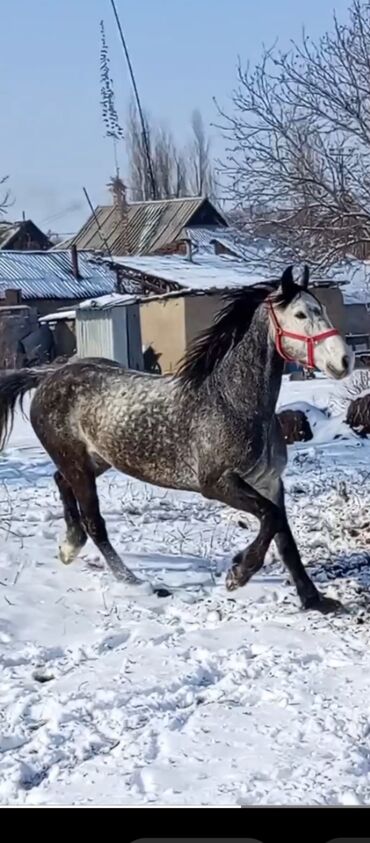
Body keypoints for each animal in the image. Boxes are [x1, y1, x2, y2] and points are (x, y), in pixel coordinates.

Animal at [0, 268, 352, 612]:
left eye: (321, 309)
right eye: (301, 314)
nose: (345, 360)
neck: (231, 402)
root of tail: (49, 377)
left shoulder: (269, 482)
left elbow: (283, 536)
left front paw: (314, 600)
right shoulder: (216, 484)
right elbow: (271, 518)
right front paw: (238, 573)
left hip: (96, 460)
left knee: (60, 482)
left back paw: (69, 547)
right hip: (77, 463)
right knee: (94, 522)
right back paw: (133, 582)